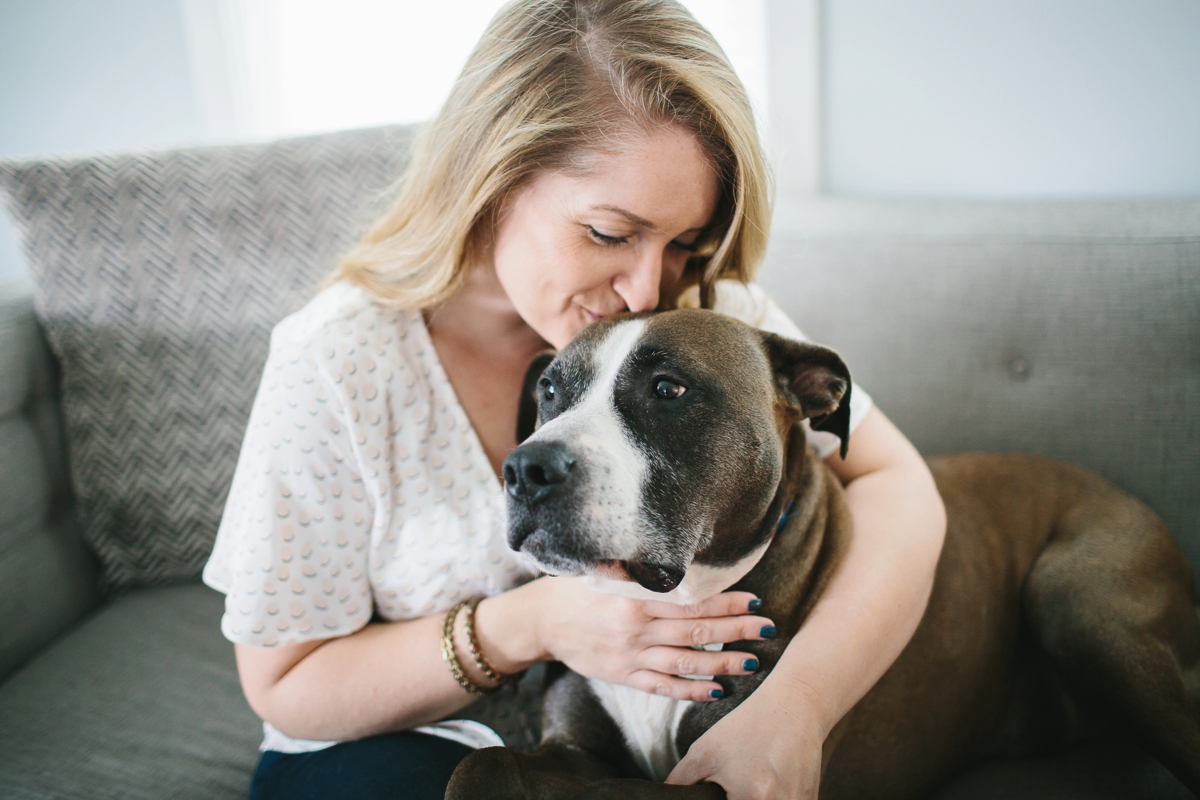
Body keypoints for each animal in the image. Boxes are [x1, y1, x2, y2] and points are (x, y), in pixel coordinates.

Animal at [444, 309, 1200, 800]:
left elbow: (613, 792)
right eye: (549, 391)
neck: (676, 602)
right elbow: (483, 766)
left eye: (669, 389)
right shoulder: (570, 745)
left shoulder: (730, 772)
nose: (527, 469)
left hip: (1076, 601)